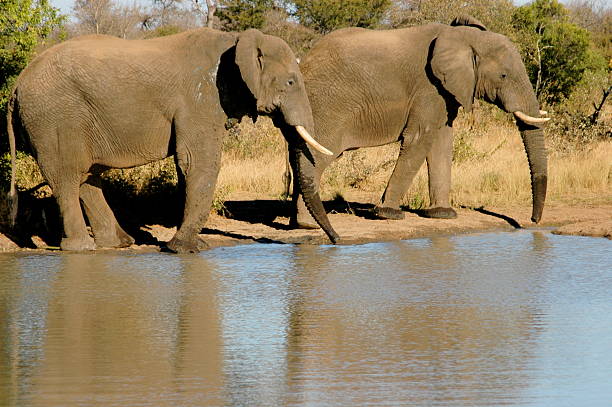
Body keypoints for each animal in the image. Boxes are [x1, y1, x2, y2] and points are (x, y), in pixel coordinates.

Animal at [5, 27, 340, 252]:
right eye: (291, 82)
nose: (336, 241)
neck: (236, 41)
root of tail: (17, 85)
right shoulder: (200, 98)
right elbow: (197, 161)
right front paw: (189, 249)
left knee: (87, 176)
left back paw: (119, 244)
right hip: (53, 119)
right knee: (66, 176)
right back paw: (81, 248)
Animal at [286, 15, 548, 230]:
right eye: (503, 76)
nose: (533, 221)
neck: (462, 37)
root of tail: (303, 62)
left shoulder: (442, 92)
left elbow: (442, 141)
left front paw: (443, 214)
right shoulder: (428, 87)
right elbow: (420, 138)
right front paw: (389, 214)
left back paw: (301, 223)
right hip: (327, 107)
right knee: (317, 158)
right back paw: (309, 225)